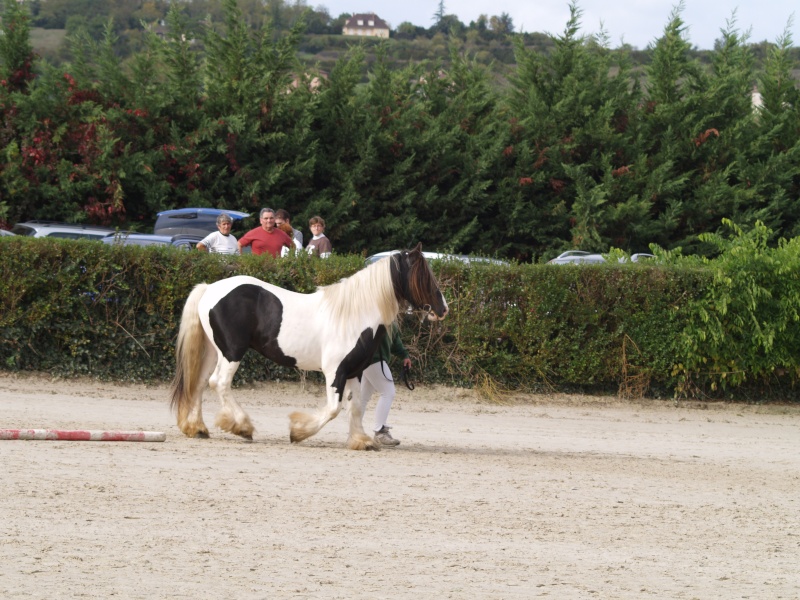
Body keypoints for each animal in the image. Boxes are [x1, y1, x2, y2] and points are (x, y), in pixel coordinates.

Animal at [168, 244, 446, 450]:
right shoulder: (335, 372)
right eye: (423, 276)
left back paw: (197, 428)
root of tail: (209, 289)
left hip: (213, 351)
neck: (354, 314)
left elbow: (356, 406)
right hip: (232, 352)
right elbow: (333, 409)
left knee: (199, 383)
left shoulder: (355, 371)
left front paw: (360, 440)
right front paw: (298, 432)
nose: (443, 309)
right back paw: (242, 427)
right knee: (219, 383)